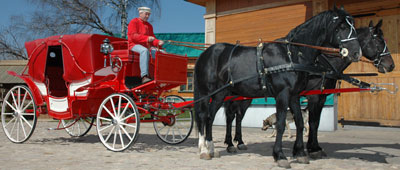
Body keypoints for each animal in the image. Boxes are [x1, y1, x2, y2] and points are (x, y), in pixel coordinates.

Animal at [194, 6, 362, 167]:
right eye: (341, 26)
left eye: (353, 25)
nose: (357, 53)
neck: (291, 55)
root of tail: (205, 54)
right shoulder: (283, 94)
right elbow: (281, 124)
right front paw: (280, 156)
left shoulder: (294, 95)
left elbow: (300, 122)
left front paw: (300, 153)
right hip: (206, 93)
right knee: (203, 116)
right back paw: (203, 150)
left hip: (221, 94)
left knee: (210, 117)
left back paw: (211, 148)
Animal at [223, 19, 396, 157]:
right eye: (379, 41)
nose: (391, 65)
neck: (321, 63)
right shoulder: (313, 96)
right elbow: (312, 122)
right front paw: (312, 148)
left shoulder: (321, 96)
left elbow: (315, 122)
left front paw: (312, 146)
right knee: (232, 116)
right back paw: (231, 143)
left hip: (243, 96)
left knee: (237, 117)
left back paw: (238, 142)